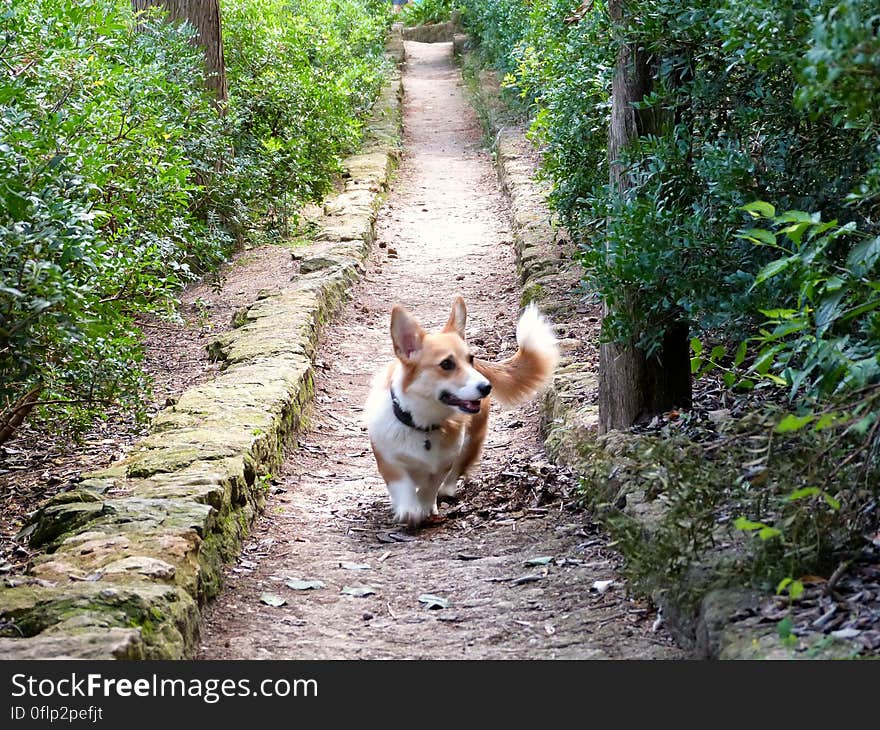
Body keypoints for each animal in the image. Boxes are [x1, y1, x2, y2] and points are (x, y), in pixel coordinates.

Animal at [362, 296, 556, 524]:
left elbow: (430, 487)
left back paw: (445, 492)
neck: (423, 424)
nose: (486, 387)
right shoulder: (390, 461)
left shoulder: (442, 464)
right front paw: (409, 509)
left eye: (469, 359)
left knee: (456, 472)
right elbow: (403, 485)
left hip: (472, 440)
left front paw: (425, 506)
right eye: (446, 364)